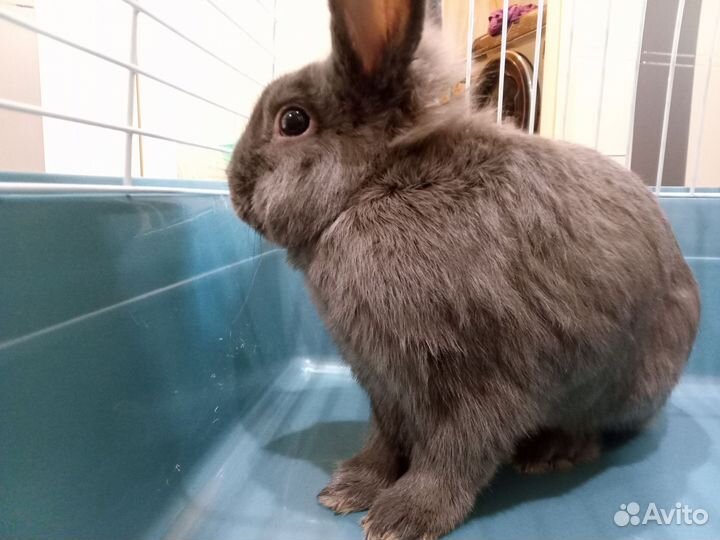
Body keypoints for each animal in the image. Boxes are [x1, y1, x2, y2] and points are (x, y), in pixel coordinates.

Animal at [227, 0, 701, 538]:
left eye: (292, 121)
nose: (233, 187)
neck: (372, 187)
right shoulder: (384, 384)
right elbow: (384, 442)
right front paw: (347, 490)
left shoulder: (474, 378)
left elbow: (453, 455)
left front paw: (402, 518)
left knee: (596, 431)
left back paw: (550, 453)